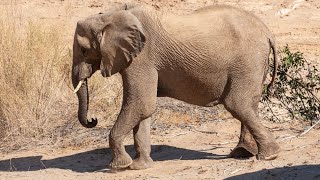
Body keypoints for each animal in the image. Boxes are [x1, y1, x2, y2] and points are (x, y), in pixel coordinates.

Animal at [72, 4, 280, 170]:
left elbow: (141, 104)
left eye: (84, 50)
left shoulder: (142, 58)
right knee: (248, 105)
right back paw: (243, 153)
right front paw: (140, 166)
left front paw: (119, 166)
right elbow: (144, 110)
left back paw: (269, 155)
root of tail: (267, 31)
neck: (110, 15)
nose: (93, 119)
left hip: (248, 59)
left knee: (238, 104)